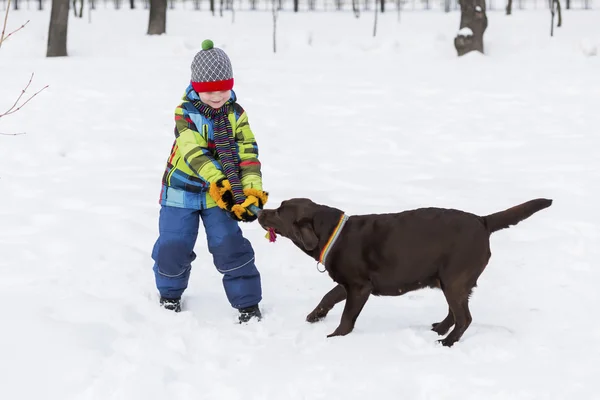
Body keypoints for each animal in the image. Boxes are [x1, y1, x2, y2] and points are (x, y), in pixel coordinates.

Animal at [258, 198, 552, 346]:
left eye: (280, 212)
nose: (260, 211)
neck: (333, 233)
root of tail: (484, 221)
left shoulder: (359, 287)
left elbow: (347, 317)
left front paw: (335, 337)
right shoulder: (347, 283)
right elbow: (328, 296)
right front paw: (314, 316)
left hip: (454, 278)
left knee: (464, 318)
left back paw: (447, 341)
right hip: (448, 280)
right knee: (454, 312)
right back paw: (439, 329)